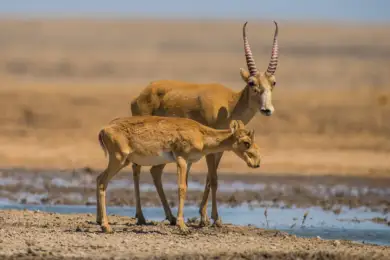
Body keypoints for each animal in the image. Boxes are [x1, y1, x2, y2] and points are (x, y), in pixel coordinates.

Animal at [96, 116, 262, 232]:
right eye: (246, 142)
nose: (257, 162)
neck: (200, 134)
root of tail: (104, 130)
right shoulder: (181, 159)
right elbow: (182, 188)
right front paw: (182, 226)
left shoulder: (188, 163)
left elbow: (186, 186)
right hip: (118, 159)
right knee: (103, 181)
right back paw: (106, 227)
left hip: (122, 161)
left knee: (99, 179)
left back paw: (100, 221)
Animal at [132, 21, 280, 226]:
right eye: (251, 82)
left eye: (273, 82)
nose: (267, 109)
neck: (229, 104)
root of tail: (140, 96)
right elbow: (214, 178)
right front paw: (214, 219)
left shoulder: (219, 149)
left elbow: (211, 178)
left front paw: (204, 217)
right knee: (137, 168)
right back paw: (141, 216)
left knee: (155, 172)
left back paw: (171, 217)